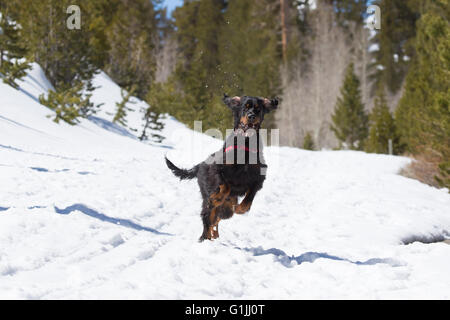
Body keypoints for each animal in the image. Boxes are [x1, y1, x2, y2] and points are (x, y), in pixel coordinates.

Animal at [165, 94, 278, 241]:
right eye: (244, 107)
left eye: (258, 109)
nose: (251, 116)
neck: (245, 143)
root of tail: (201, 164)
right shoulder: (218, 168)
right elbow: (226, 185)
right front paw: (217, 197)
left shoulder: (259, 177)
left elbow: (249, 197)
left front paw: (241, 209)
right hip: (207, 197)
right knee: (208, 217)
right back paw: (205, 237)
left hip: (227, 210)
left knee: (216, 218)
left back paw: (214, 234)